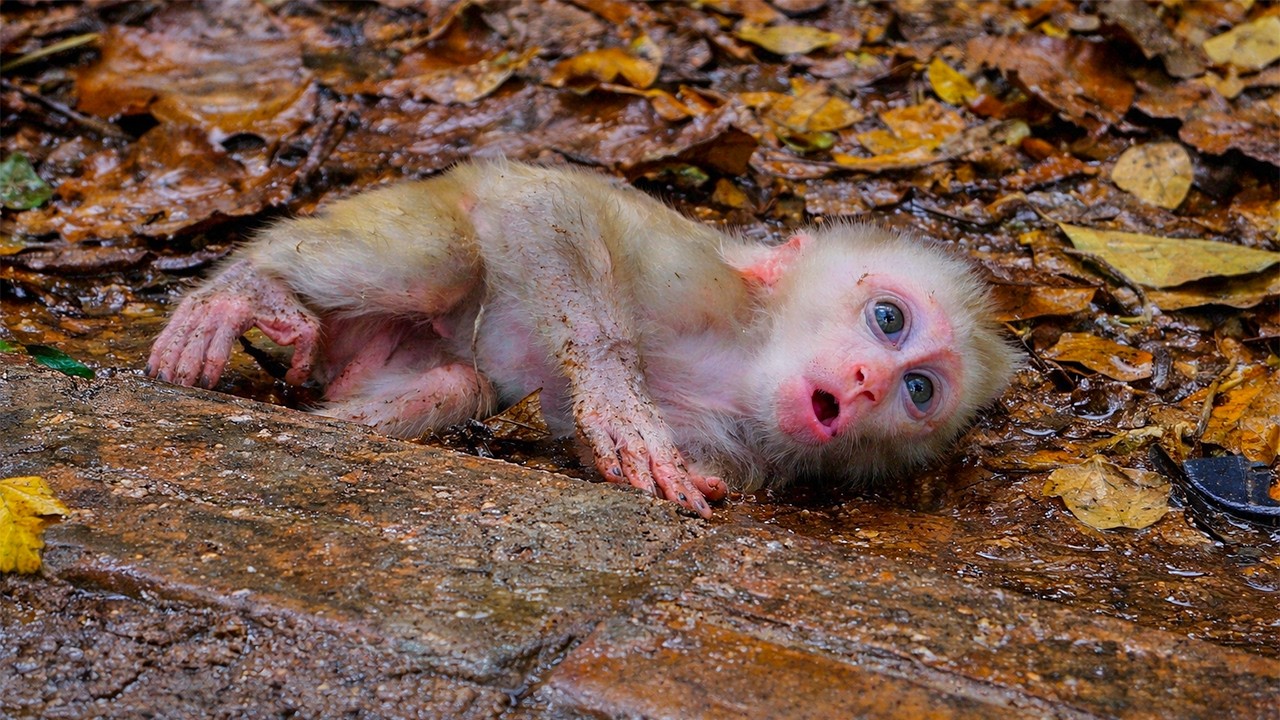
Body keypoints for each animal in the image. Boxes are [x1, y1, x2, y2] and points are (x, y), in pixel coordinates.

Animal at [147, 160, 1022, 517]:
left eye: (920, 390)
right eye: (888, 319)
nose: (870, 382)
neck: (742, 360)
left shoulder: (748, 451)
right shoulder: (699, 280)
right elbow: (545, 206)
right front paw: (615, 404)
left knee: (458, 380)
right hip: (416, 209)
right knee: (443, 261)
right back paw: (246, 286)